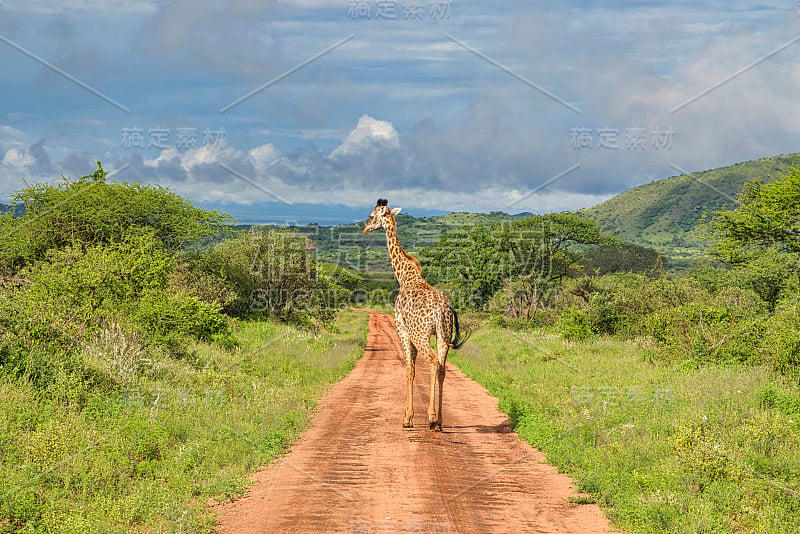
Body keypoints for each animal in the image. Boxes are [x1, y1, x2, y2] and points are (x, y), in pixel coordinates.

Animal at [362, 199, 468, 434]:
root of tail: (440, 310)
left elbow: (409, 370)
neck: (405, 276)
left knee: (432, 362)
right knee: (442, 367)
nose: (363, 228)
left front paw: (407, 418)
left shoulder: (402, 329)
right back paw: (439, 421)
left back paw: (431, 418)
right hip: (443, 336)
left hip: (421, 335)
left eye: (372, 216)